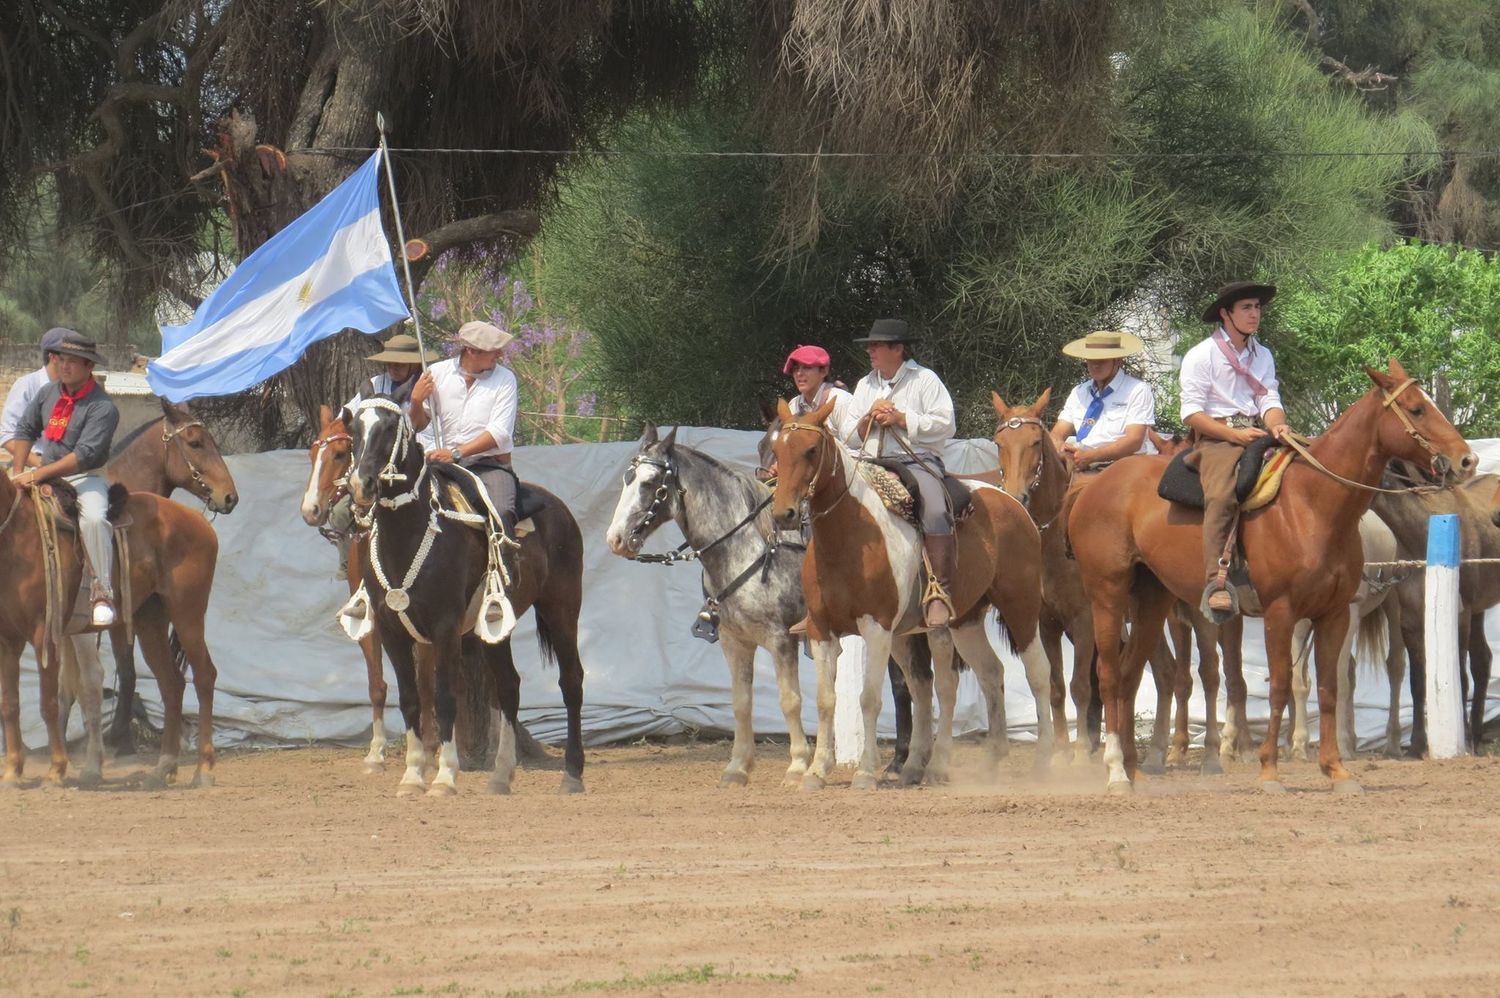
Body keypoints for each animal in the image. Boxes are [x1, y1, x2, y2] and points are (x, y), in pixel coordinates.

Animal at [345, 393, 585, 792]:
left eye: (391, 427)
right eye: (352, 428)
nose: (361, 484)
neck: (410, 533)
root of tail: (559, 508)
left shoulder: (445, 628)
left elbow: (445, 698)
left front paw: (444, 776)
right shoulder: (393, 631)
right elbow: (411, 700)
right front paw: (413, 775)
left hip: (562, 607)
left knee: (571, 681)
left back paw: (573, 773)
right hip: (494, 626)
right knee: (509, 686)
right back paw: (501, 775)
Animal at [768, 396, 1050, 786]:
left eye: (811, 450)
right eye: (778, 449)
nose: (784, 513)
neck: (850, 535)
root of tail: (1013, 502)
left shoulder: (876, 627)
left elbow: (869, 698)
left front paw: (865, 772)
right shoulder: (821, 630)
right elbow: (827, 700)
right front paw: (816, 771)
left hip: (1020, 606)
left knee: (1037, 674)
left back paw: (1045, 761)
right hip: (962, 621)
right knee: (987, 674)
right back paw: (979, 763)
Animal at [1068, 360, 1476, 792]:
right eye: (1417, 409)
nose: (1466, 460)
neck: (1312, 505)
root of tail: (1095, 487)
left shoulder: (1334, 614)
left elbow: (1328, 688)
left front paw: (1336, 769)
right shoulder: (1280, 613)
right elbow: (1280, 684)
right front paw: (1268, 770)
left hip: (1152, 599)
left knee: (1130, 676)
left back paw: (1135, 771)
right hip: (1108, 595)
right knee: (1109, 674)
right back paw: (1115, 771)